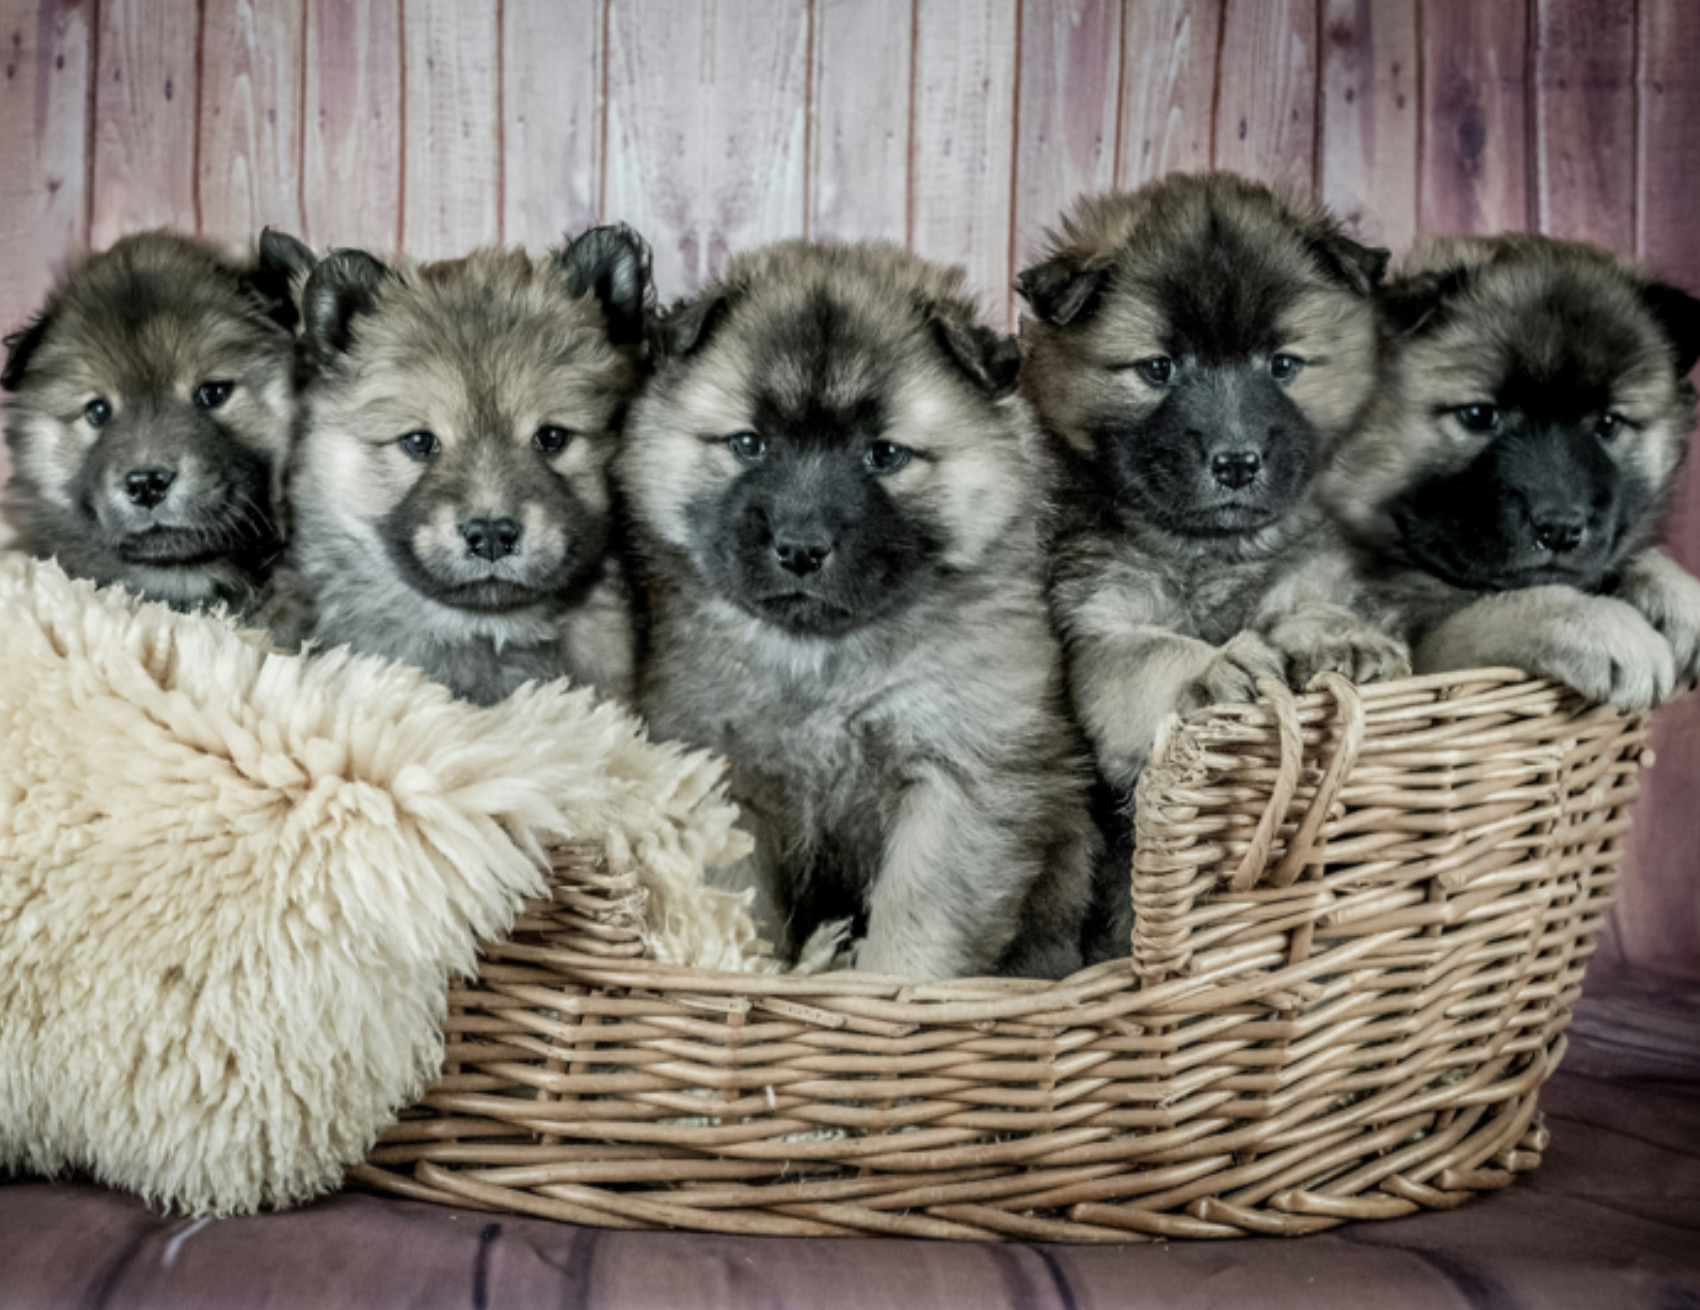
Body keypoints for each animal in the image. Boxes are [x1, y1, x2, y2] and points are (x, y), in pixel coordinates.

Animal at [618, 241, 1094, 985]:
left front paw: (890, 986)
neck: (823, 660)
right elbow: (739, 905)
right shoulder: (725, 783)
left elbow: (916, 921)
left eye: (885, 455)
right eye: (750, 444)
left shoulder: (953, 778)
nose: (801, 547)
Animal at [1013, 174, 1400, 965]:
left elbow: (1313, 601)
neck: (1211, 550)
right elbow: (1153, 653)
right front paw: (1217, 664)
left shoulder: (1312, 569)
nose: (1236, 461)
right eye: (1159, 368)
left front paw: (1342, 639)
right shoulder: (1095, 633)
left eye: (1282, 364)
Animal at [1319, 236, 1700, 706]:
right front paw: (1607, 628)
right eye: (1480, 415)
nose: (1560, 528)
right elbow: (1501, 607)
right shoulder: (1427, 655)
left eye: (1608, 423)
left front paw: (1679, 594)